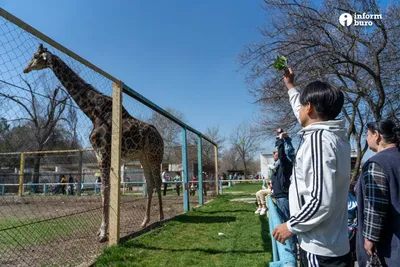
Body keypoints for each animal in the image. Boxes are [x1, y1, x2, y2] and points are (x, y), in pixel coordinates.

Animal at [23, 44, 165, 243]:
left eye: (36, 56)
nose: (25, 69)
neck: (93, 112)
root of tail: (160, 137)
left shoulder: (104, 152)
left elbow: (105, 189)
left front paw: (104, 233)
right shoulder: (99, 154)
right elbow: (105, 190)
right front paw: (101, 231)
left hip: (154, 155)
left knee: (158, 182)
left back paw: (161, 217)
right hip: (142, 157)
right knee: (151, 183)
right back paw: (145, 221)